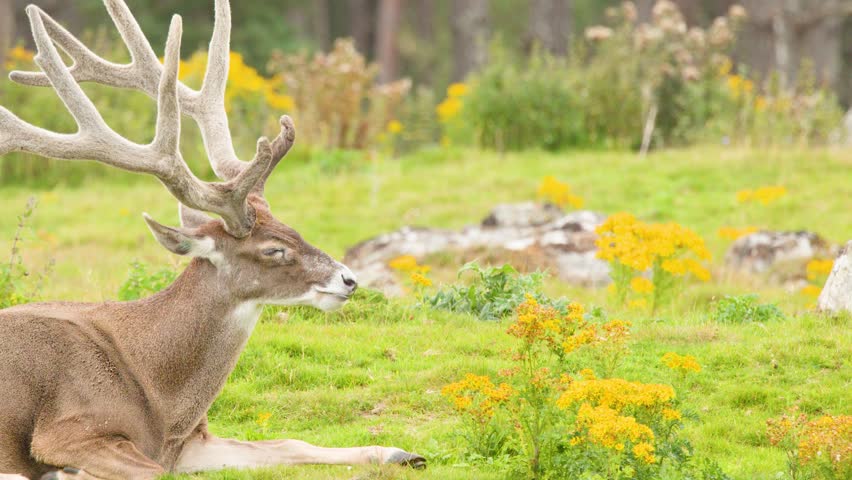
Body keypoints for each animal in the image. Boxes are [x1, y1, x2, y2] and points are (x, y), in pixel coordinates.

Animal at [0, 1, 426, 479]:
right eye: (274, 249)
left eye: (293, 230)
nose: (349, 279)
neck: (163, 403)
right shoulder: (68, 428)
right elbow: (154, 471)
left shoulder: (194, 441)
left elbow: (286, 442)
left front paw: (397, 451)